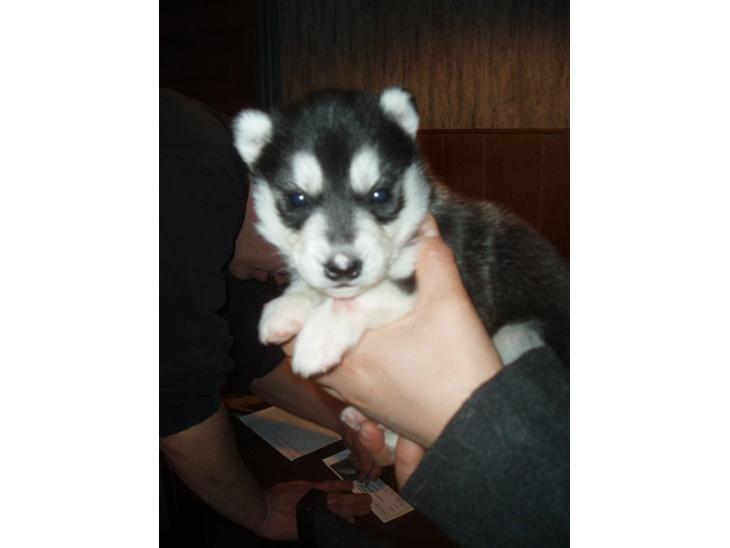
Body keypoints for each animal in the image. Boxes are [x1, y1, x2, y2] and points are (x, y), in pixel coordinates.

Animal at [232, 86, 569, 395]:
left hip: (517, 334)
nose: (343, 268)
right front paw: (287, 305)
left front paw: (320, 335)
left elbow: (367, 296)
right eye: (297, 199)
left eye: (379, 195)